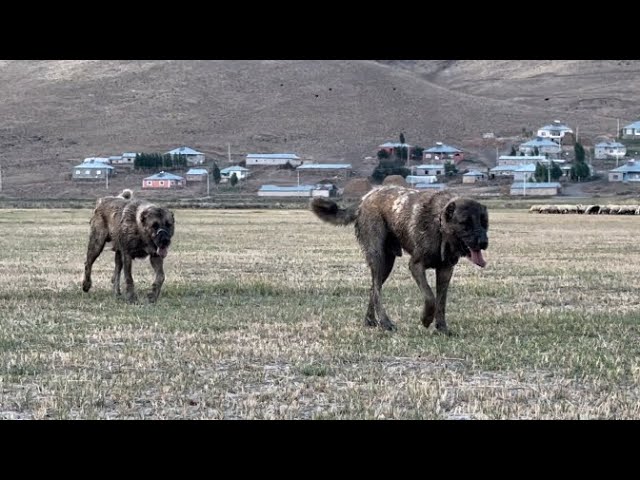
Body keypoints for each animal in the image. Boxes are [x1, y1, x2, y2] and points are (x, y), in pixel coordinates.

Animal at [312, 186, 490, 336]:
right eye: (465, 223)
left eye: (484, 222)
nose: (484, 242)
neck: (439, 224)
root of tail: (366, 197)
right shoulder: (416, 266)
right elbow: (430, 297)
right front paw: (426, 319)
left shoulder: (446, 270)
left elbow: (441, 302)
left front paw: (441, 327)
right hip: (378, 258)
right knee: (377, 290)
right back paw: (385, 322)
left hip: (387, 264)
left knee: (373, 289)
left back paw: (370, 320)